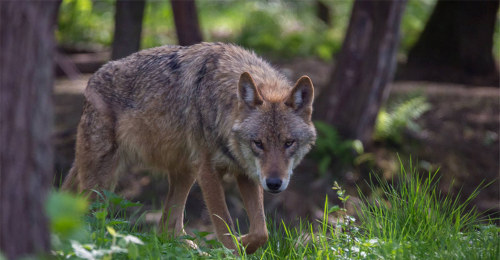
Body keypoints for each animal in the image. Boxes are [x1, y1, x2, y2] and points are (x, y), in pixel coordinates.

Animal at [61, 42, 316, 254]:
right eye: (259, 143)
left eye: (288, 143)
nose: (274, 183)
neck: (221, 105)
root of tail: (91, 80)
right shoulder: (208, 172)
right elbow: (225, 226)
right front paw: (234, 249)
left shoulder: (245, 172)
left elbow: (261, 231)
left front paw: (243, 243)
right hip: (101, 186)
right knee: (88, 224)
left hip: (184, 174)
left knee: (167, 229)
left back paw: (195, 250)